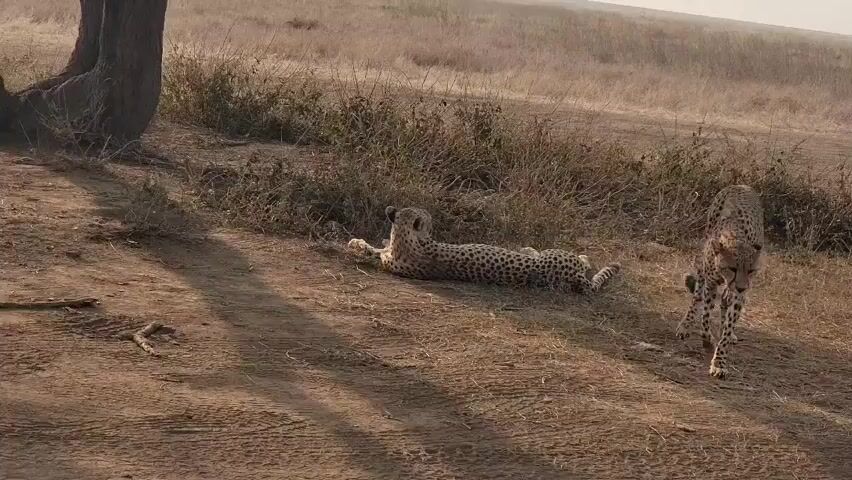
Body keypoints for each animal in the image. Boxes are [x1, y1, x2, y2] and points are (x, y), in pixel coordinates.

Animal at [347, 206, 621, 295]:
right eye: (427, 217)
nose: (432, 218)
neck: (405, 241)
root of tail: (573, 278)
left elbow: (375, 249)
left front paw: (358, 244)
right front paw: (358, 245)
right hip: (556, 256)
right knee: (583, 261)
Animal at [675, 184, 765, 379]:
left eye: (751, 270)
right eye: (732, 268)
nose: (741, 286)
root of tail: (740, 185)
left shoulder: (740, 293)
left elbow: (729, 322)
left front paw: (719, 361)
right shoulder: (711, 283)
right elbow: (705, 316)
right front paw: (707, 339)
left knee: (725, 300)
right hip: (703, 263)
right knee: (697, 296)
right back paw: (686, 325)